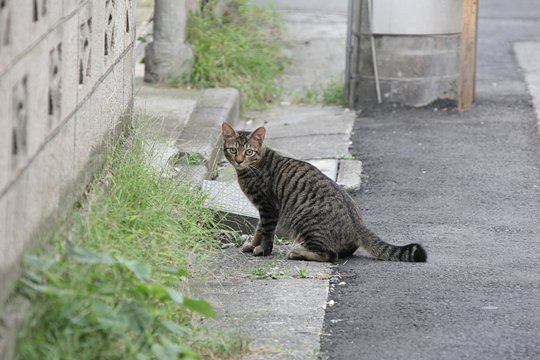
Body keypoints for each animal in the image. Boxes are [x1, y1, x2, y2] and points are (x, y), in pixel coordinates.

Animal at [221, 122, 428, 262]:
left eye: (248, 152)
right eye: (233, 150)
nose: (239, 160)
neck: (252, 168)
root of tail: (358, 223)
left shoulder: (268, 208)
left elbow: (266, 232)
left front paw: (262, 250)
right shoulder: (263, 210)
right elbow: (258, 229)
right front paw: (251, 245)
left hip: (305, 222)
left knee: (329, 255)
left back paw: (297, 252)